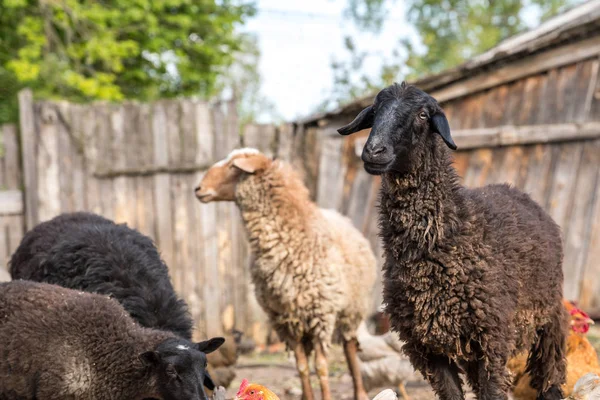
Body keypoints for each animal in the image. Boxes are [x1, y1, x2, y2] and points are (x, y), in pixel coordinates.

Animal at [195, 148, 378, 400]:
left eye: (233, 166)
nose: (198, 189)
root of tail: (342, 217)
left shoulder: (322, 315)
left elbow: (322, 366)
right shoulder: (285, 320)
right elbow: (301, 367)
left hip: (351, 310)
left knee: (350, 350)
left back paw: (360, 392)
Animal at [338, 81, 568, 400]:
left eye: (423, 115)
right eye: (374, 112)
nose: (374, 151)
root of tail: (519, 192)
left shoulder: (493, 339)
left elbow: (493, 392)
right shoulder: (428, 347)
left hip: (549, 319)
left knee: (550, 375)